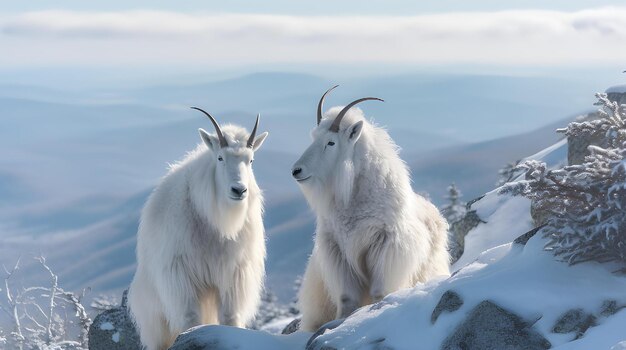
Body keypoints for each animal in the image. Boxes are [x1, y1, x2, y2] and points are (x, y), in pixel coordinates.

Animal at [129, 108, 268, 348]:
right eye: (220, 158)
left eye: (250, 160)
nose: (239, 190)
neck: (216, 223)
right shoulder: (181, 275)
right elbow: (190, 317)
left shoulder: (233, 274)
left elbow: (230, 316)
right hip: (155, 316)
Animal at [292, 87, 448, 330]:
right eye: (314, 137)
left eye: (331, 143)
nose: (296, 170)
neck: (353, 197)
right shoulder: (337, 249)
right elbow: (346, 297)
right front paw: (340, 321)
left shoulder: (387, 244)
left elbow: (379, 291)